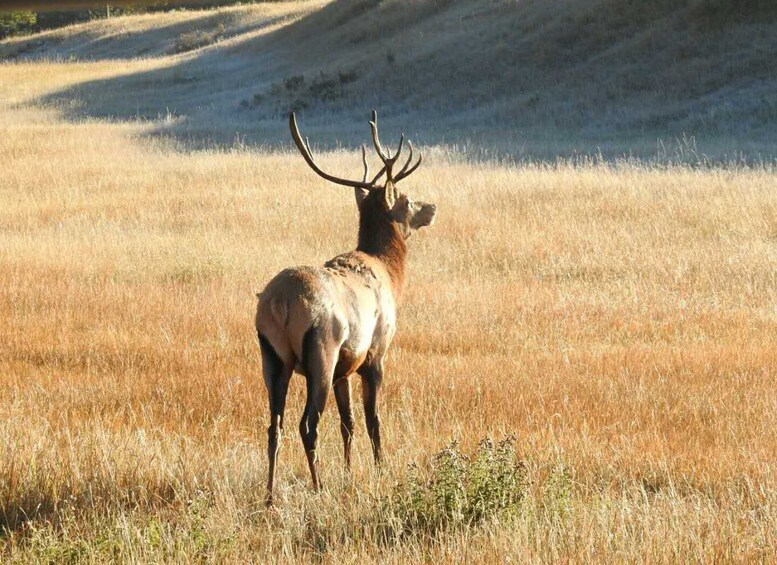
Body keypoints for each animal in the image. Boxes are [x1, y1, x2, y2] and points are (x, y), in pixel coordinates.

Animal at [256, 110, 434, 502]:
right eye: (406, 199)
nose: (432, 207)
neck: (390, 274)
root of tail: (279, 304)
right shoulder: (375, 352)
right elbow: (372, 420)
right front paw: (382, 470)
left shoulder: (345, 368)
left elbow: (347, 422)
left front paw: (349, 473)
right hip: (321, 349)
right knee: (307, 424)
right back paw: (317, 486)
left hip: (272, 356)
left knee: (274, 425)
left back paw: (271, 495)